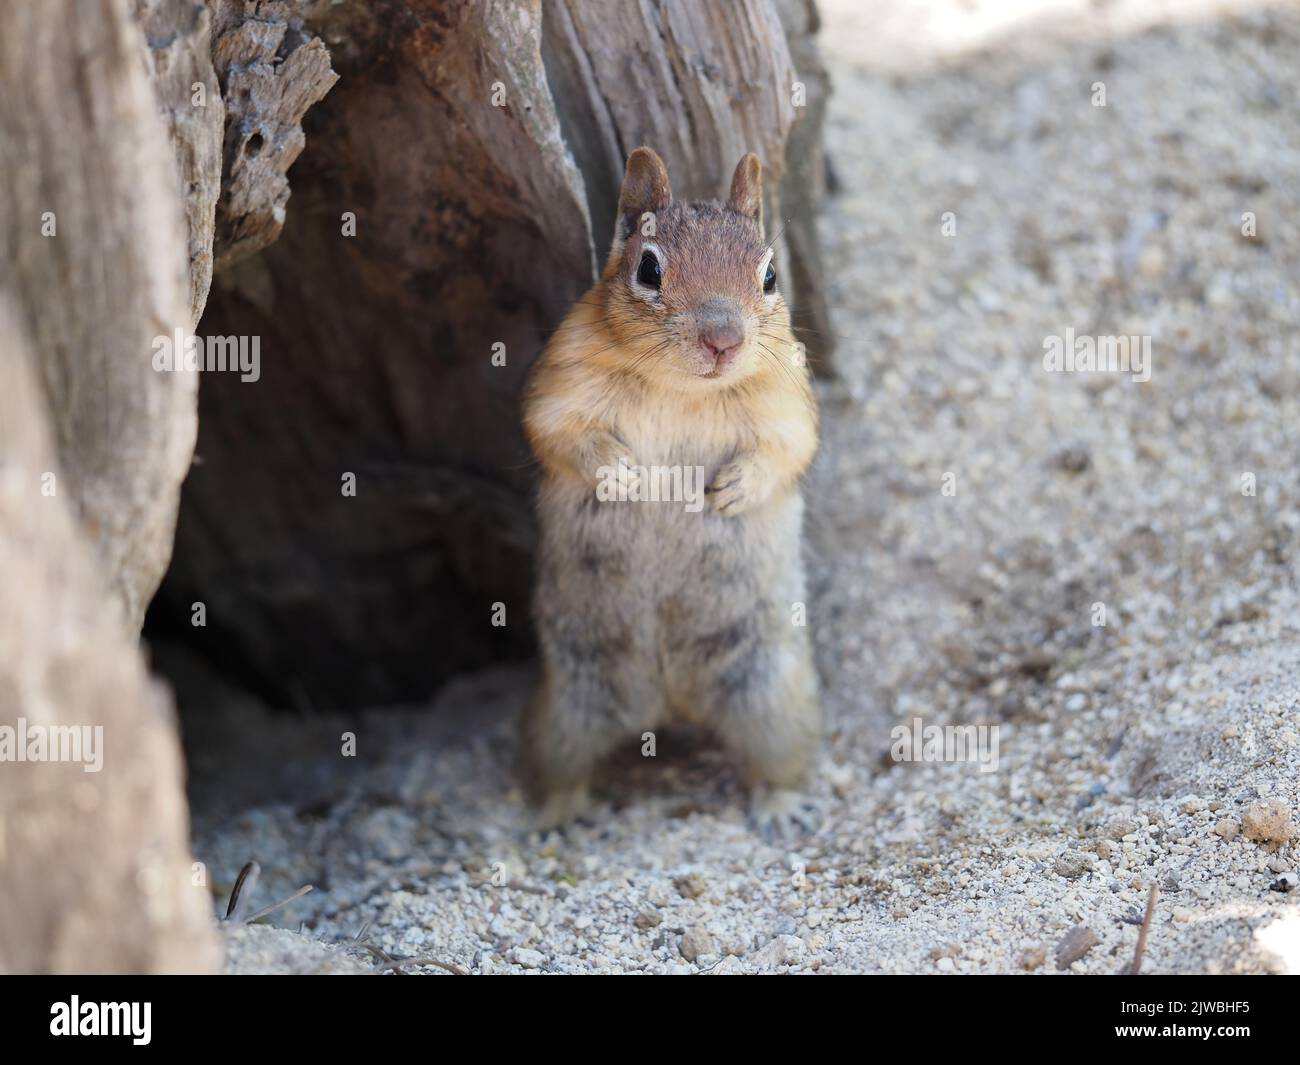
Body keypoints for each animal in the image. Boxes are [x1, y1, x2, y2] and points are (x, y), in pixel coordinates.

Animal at [520, 145, 816, 837]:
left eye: (769, 276)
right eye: (648, 268)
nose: (724, 341)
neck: (682, 386)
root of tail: (671, 702)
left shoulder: (788, 399)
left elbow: (789, 448)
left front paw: (733, 488)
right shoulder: (559, 387)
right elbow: (560, 434)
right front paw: (623, 474)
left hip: (771, 698)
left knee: (777, 757)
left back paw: (781, 806)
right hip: (568, 710)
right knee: (563, 764)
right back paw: (555, 814)